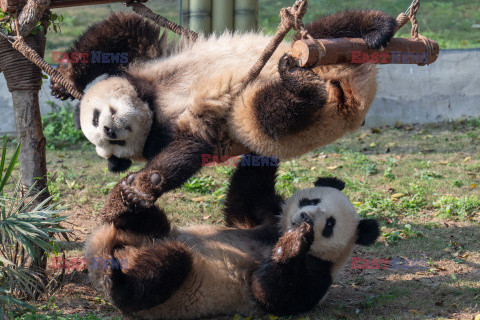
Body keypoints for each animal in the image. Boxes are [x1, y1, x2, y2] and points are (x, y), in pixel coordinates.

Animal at [51, 6, 398, 218]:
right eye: (110, 145)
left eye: (97, 118)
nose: (110, 130)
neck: (151, 106)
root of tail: (351, 96)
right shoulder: (173, 129)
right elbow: (190, 146)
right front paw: (141, 187)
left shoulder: (148, 65)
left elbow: (125, 30)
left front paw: (66, 80)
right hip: (253, 111)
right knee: (270, 115)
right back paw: (299, 84)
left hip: (308, 49)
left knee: (321, 29)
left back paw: (377, 27)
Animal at [85, 162, 378, 318]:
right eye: (312, 200)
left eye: (330, 224)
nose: (304, 218)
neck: (277, 233)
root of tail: (102, 254)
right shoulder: (266, 217)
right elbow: (244, 195)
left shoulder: (320, 272)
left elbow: (274, 295)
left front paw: (293, 245)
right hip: (145, 233)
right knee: (150, 222)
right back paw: (126, 200)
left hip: (172, 290)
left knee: (168, 265)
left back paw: (119, 285)